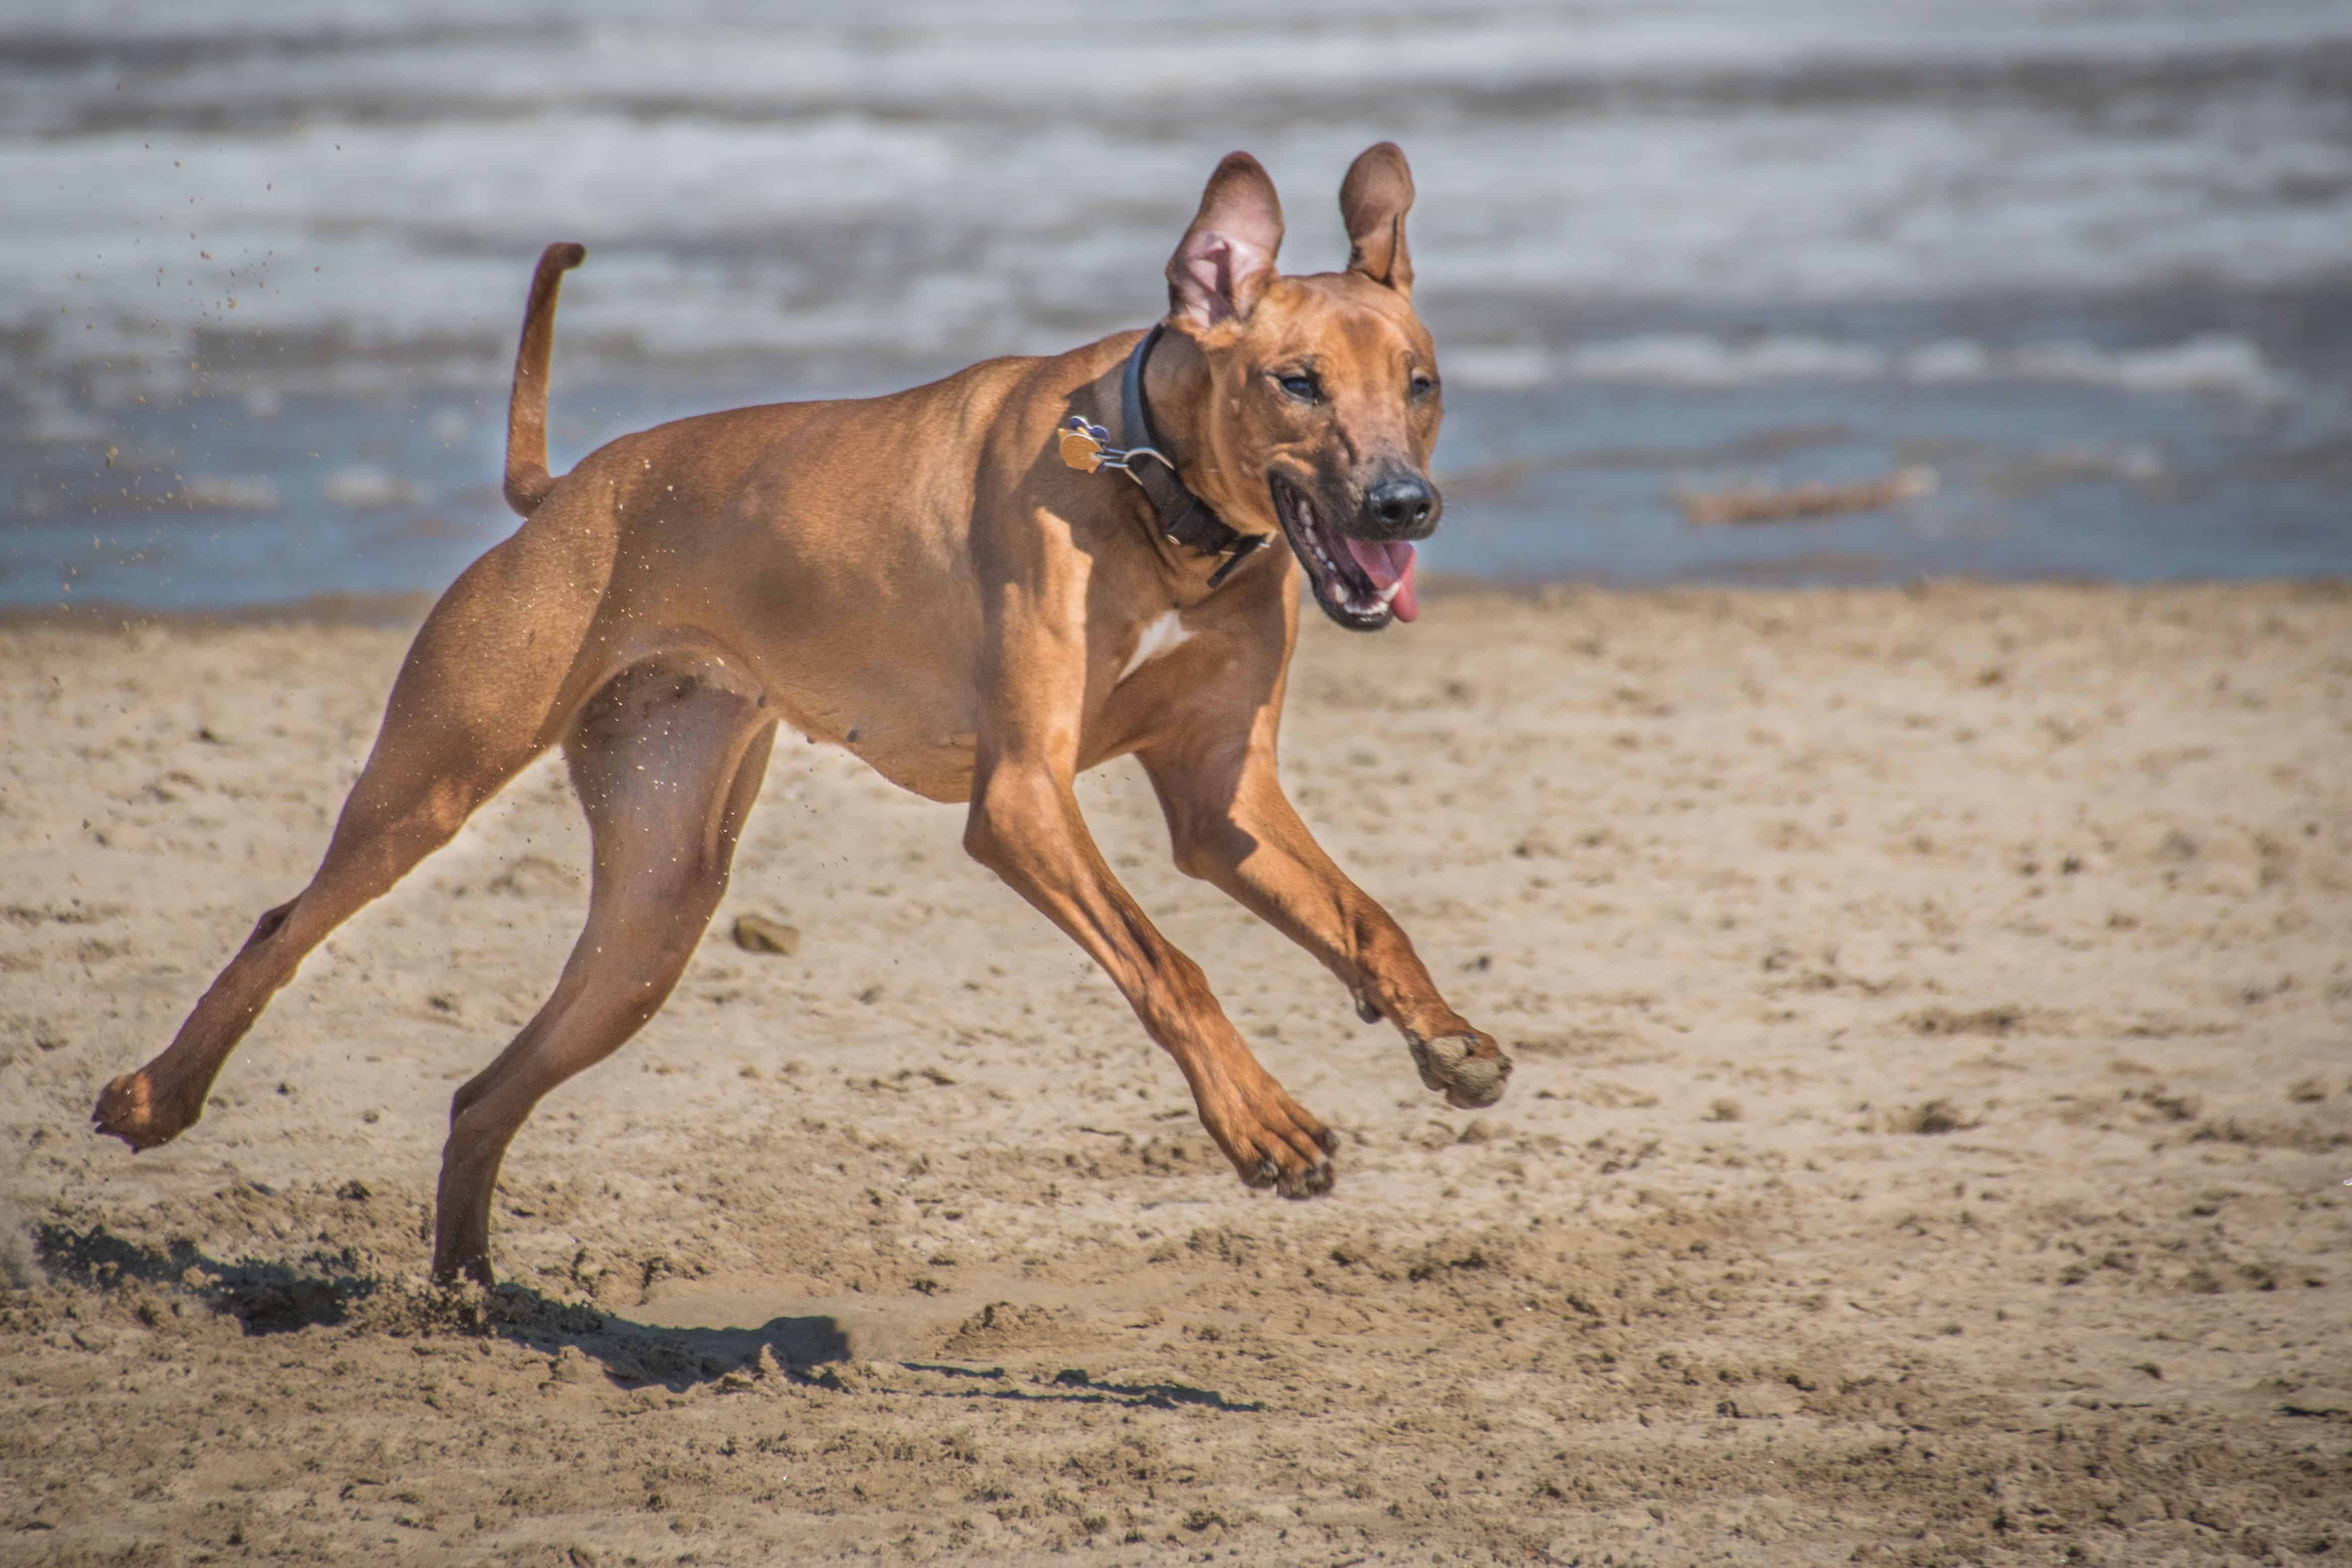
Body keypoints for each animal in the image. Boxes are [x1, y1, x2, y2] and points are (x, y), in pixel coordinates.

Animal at [92, 144, 1505, 1288]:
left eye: (1422, 384)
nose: (1405, 506)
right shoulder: (1019, 801)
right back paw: (159, 1097)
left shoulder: (1222, 799)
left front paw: (1445, 1038)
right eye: (1297, 383)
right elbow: (1172, 965)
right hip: (435, 777)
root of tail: (567, 491)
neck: (1154, 494)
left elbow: (1364, 920)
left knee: (483, 1092)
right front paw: (1263, 1126)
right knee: (285, 927)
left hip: (656, 912)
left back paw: (464, 1293)